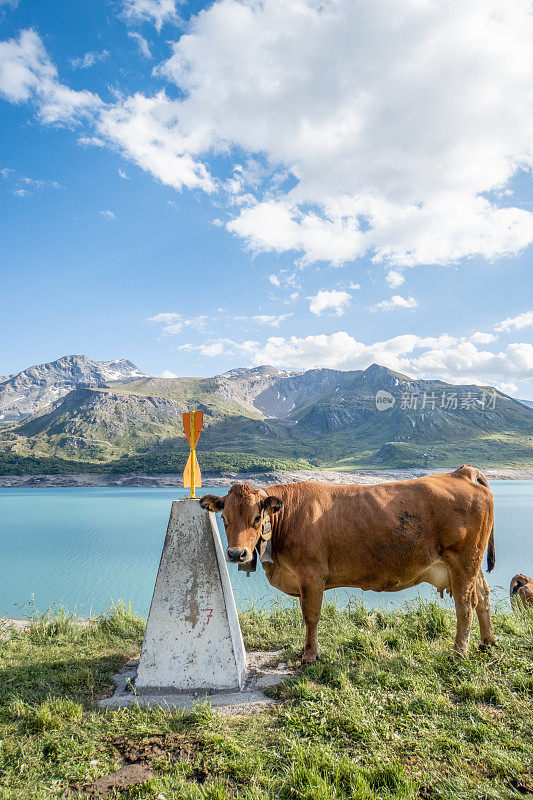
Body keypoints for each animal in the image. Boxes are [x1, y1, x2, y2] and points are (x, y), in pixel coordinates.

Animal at [200, 462, 494, 664]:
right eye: (224, 519)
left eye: (257, 518)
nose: (237, 554)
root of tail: (461, 472)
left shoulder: (311, 576)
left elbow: (311, 616)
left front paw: (309, 656)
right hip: (470, 565)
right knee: (482, 595)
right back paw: (488, 643)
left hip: (463, 561)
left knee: (465, 605)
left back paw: (459, 653)